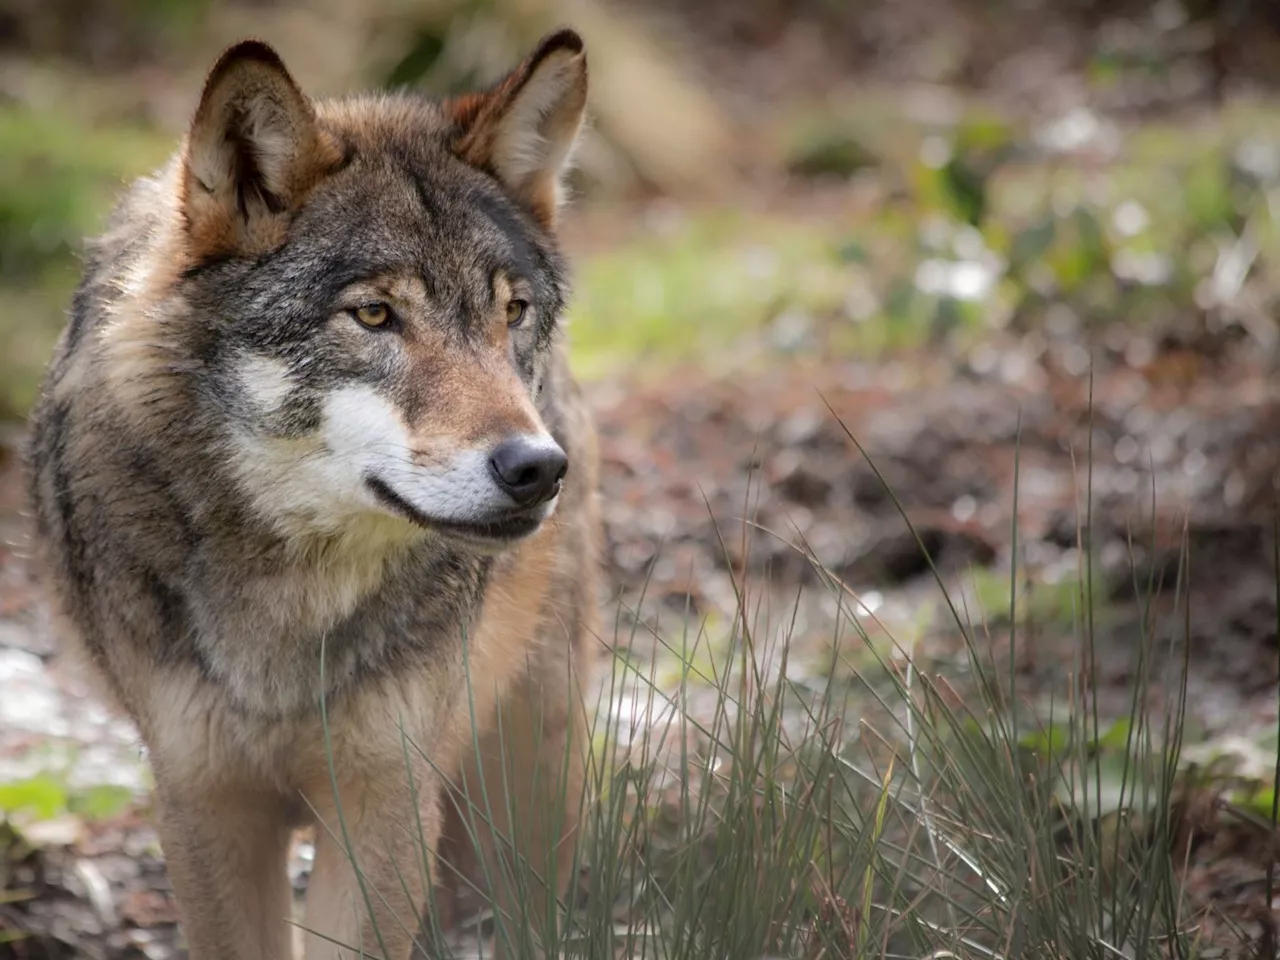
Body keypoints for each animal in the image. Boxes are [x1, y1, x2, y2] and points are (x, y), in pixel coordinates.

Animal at [21, 26, 599, 957]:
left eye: (510, 312)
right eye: (374, 316)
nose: (537, 468)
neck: (288, 602)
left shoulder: (385, 803)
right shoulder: (205, 806)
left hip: (531, 776)